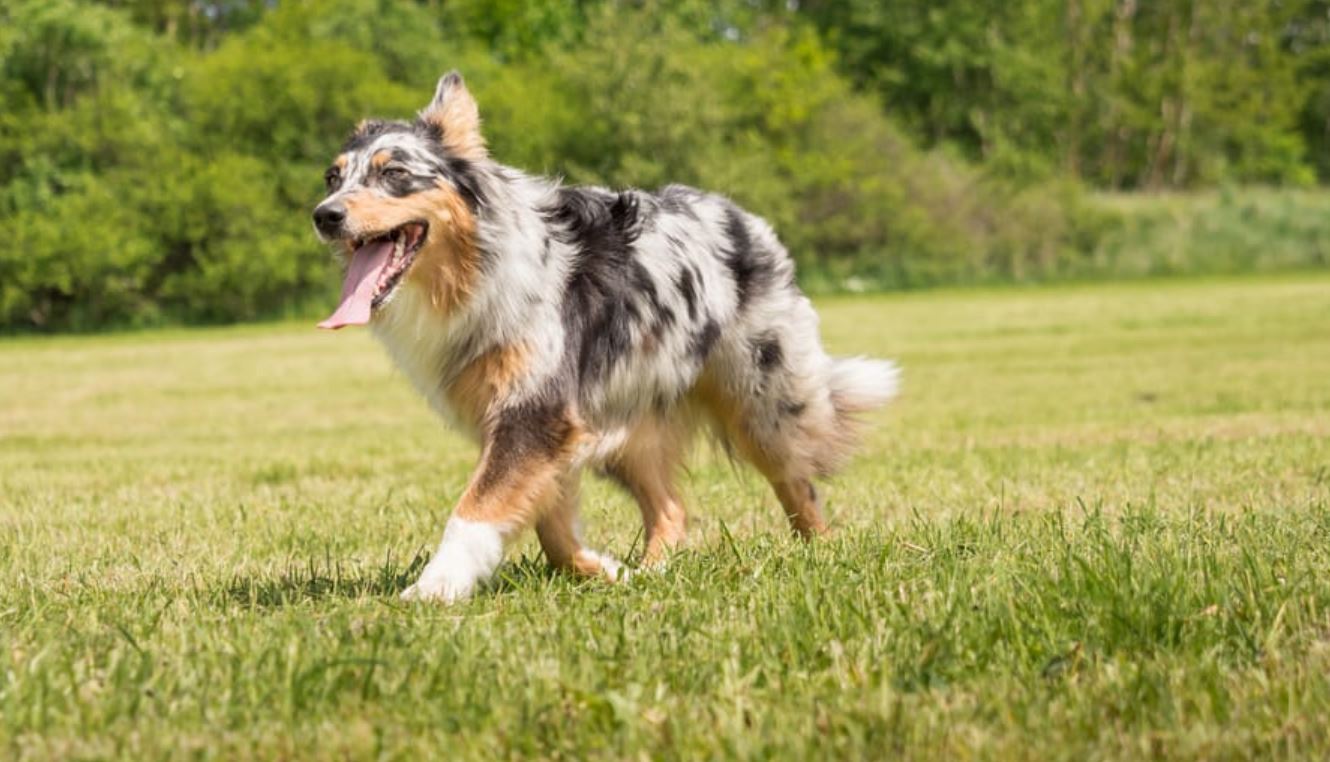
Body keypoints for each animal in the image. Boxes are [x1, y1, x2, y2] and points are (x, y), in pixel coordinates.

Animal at [309, 74, 893, 603]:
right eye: (333, 177)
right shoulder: (546, 424)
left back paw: (821, 553)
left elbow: (476, 509)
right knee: (671, 508)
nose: (324, 215)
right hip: (624, 423)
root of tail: (742, 217)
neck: (480, 266)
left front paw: (436, 587)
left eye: (394, 173)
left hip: (764, 402)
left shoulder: (534, 411)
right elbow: (551, 528)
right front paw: (604, 570)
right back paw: (653, 573)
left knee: (799, 482)